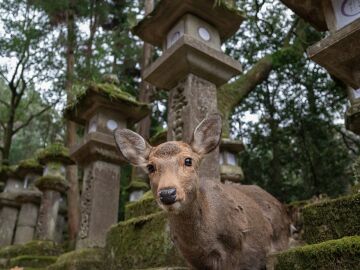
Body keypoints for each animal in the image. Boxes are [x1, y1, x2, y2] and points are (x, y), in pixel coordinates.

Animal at [114, 114, 290, 270]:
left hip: (281, 238)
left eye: (188, 160)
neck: (201, 244)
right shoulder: (190, 259)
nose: (167, 193)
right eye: (150, 167)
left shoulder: (235, 244)